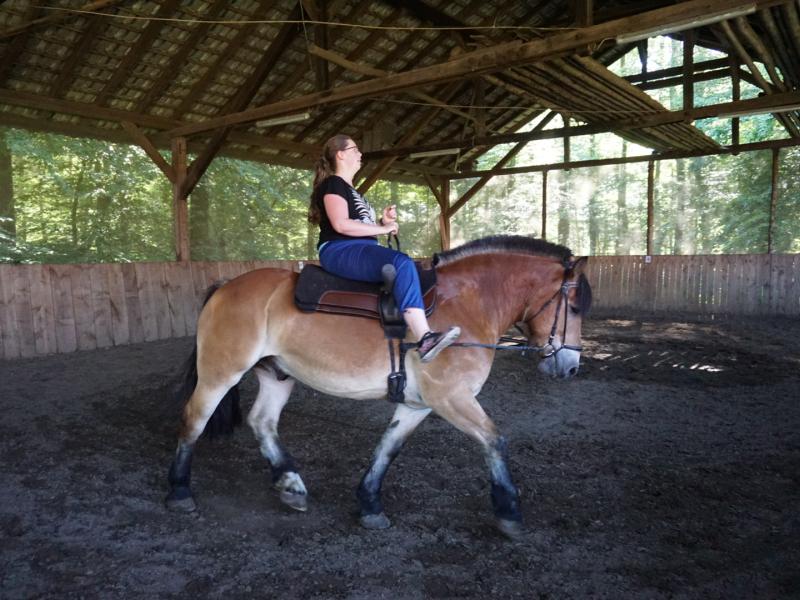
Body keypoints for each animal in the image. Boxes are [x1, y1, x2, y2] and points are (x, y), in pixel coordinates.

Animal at [166, 234, 592, 536]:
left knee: (263, 422)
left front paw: (370, 504)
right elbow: (494, 440)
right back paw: (180, 491)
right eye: (572, 307)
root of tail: (225, 286)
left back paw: (291, 484)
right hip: (221, 371)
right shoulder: (452, 397)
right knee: (193, 420)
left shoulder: (418, 404)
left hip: (277, 375)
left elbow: (387, 448)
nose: (571, 367)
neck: (467, 305)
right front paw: (509, 512)